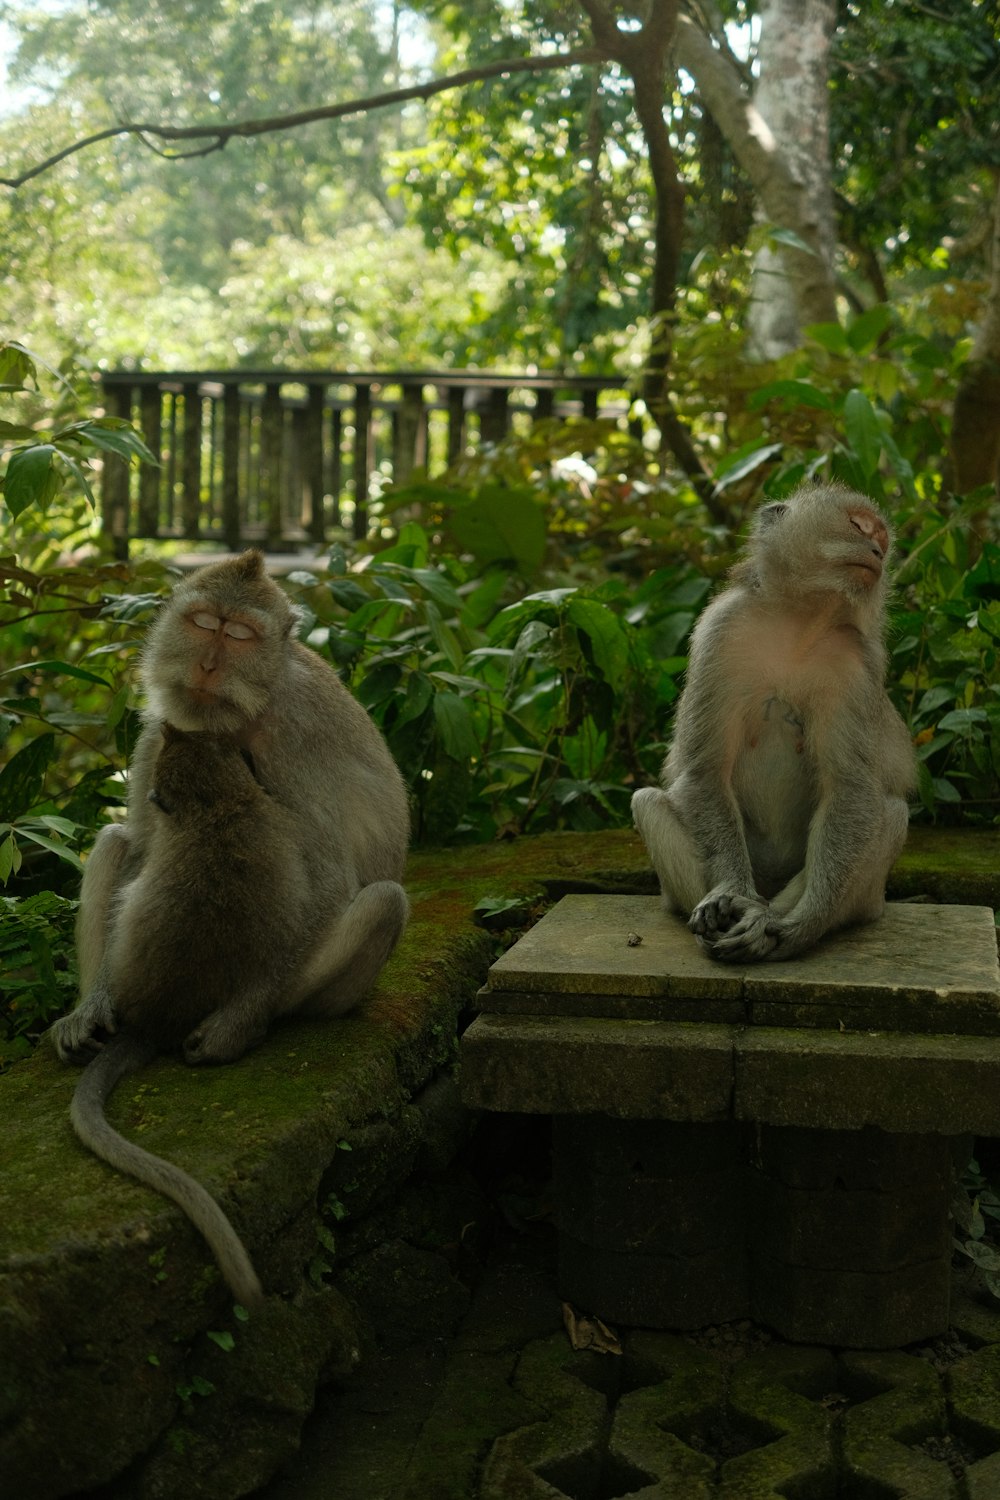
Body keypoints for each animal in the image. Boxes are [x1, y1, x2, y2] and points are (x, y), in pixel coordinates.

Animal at [632, 486, 917, 966]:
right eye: (858, 526)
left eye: (881, 538)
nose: (878, 551)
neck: (799, 625)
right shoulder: (722, 630)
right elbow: (705, 769)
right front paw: (728, 892)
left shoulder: (858, 665)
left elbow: (849, 787)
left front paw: (803, 923)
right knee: (648, 803)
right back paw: (735, 909)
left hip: (864, 898)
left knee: (891, 814)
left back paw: (765, 921)